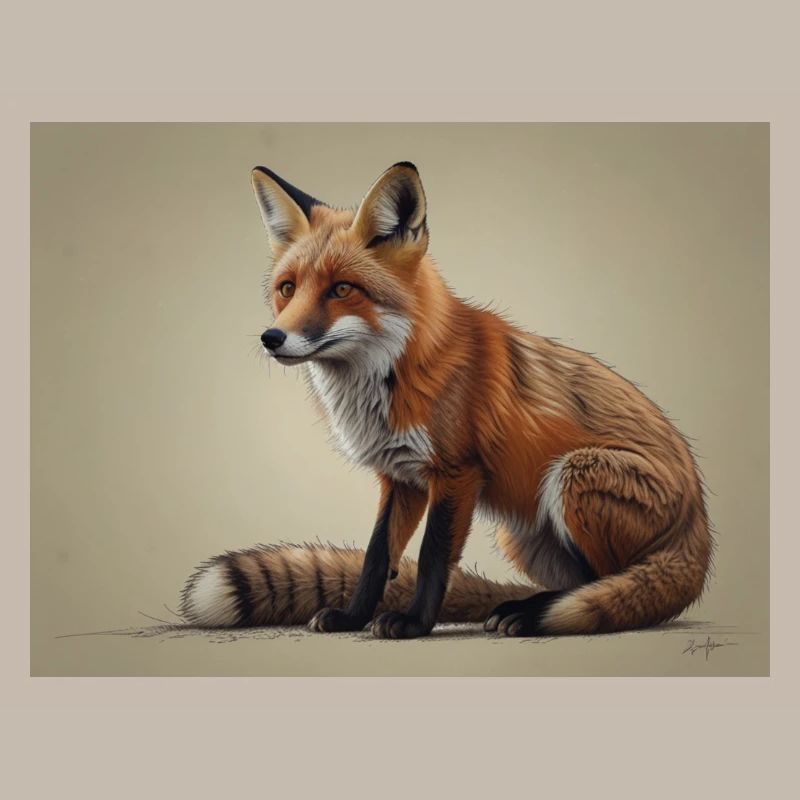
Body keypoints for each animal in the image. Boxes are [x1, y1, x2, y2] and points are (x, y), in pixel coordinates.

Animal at [179, 161, 713, 638]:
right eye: (287, 289)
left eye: (342, 289)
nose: (272, 338)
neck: (396, 375)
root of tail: (699, 527)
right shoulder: (400, 477)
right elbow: (377, 557)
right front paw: (353, 617)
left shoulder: (458, 472)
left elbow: (434, 556)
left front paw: (414, 624)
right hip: (520, 530)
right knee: (585, 584)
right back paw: (521, 606)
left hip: (572, 474)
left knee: (611, 587)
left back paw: (530, 615)